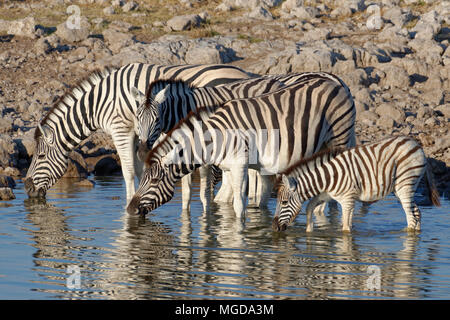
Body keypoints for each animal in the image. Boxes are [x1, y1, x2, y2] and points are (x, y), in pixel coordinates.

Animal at [23, 62, 250, 204]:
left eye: (40, 156)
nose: (27, 190)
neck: (98, 103)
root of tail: (244, 74)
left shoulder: (120, 129)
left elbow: (128, 170)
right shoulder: (137, 134)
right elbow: (140, 169)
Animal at [125, 73, 356, 218]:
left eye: (157, 119)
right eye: (137, 118)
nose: (129, 210)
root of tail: (337, 81)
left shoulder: (221, 163)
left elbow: (209, 194)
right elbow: (188, 191)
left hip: (338, 137)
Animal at [274, 135, 440, 232]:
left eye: (284, 202)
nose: (274, 227)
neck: (327, 178)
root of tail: (417, 145)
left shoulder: (347, 199)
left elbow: (346, 228)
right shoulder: (326, 195)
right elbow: (309, 208)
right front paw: (309, 232)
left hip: (405, 184)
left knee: (411, 218)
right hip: (401, 189)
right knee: (417, 213)